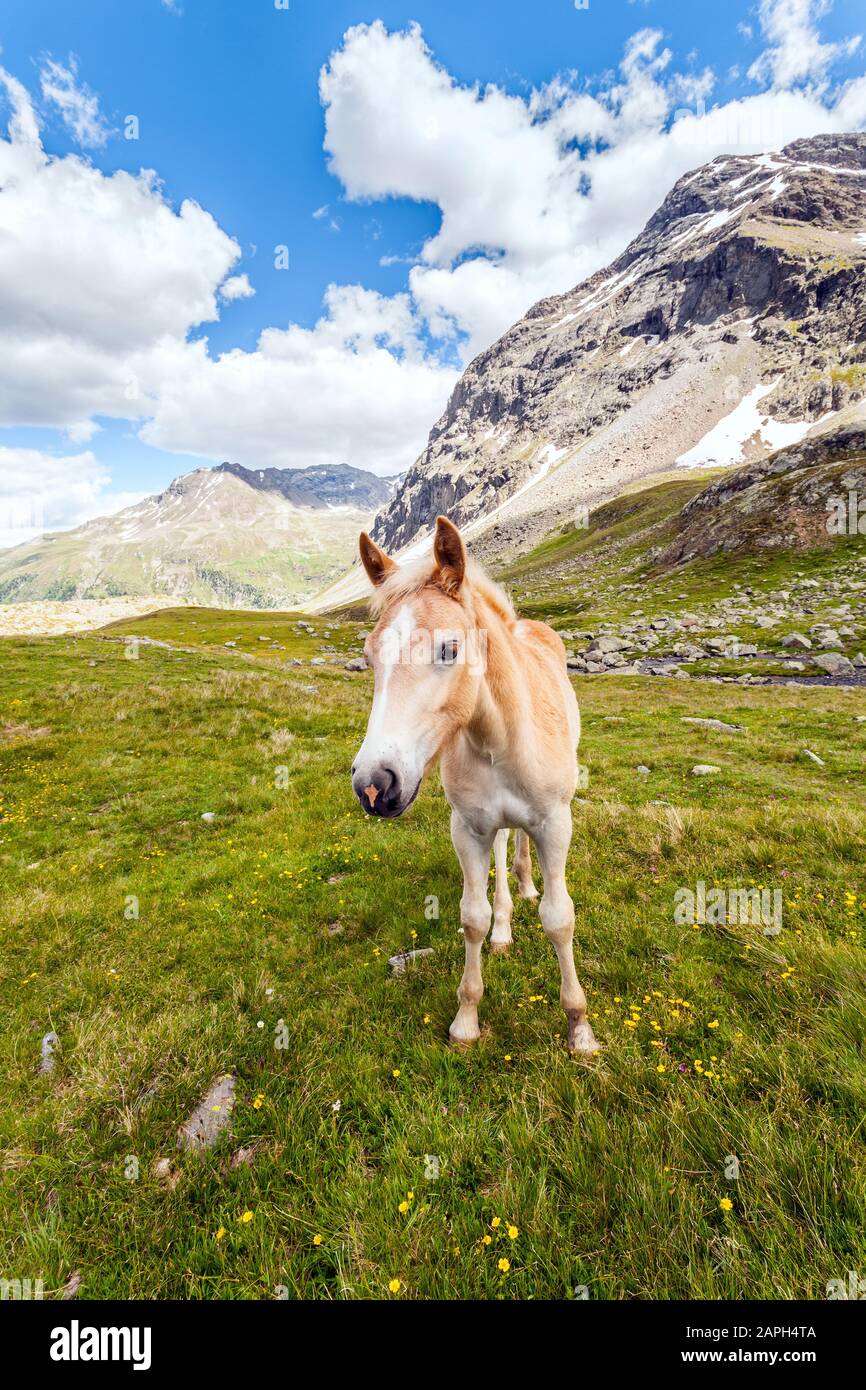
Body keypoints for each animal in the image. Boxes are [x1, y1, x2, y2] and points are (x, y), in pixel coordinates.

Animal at [351, 514, 599, 1056]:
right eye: (370, 655)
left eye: (450, 647)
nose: (374, 785)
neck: (497, 735)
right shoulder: (466, 829)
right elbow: (473, 917)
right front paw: (466, 1019)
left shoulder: (556, 824)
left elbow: (559, 918)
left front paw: (579, 1026)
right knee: (504, 849)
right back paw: (506, 922)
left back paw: (526, 885)